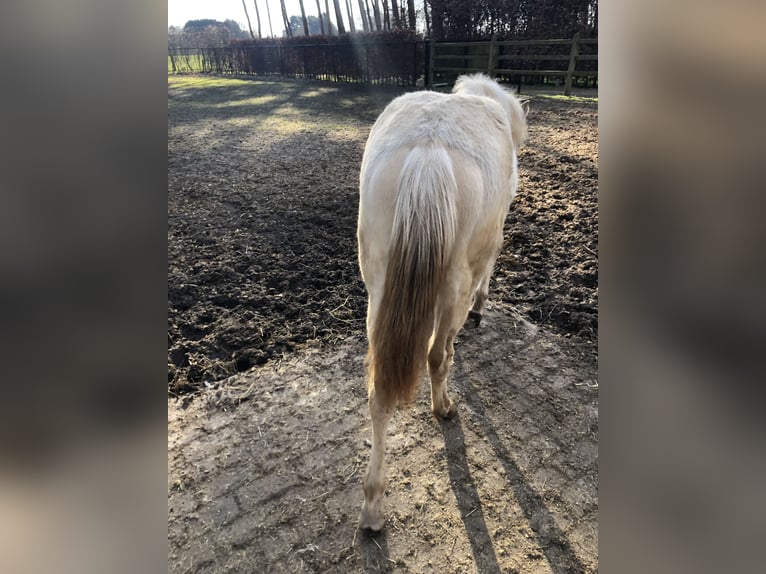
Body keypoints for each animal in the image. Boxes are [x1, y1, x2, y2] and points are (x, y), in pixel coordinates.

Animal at [358, 74, 528, 532]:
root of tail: (429, 150)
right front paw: (481, 308)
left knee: (379, 388)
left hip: (378, 287)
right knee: (436, 355)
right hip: (454, 281)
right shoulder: (489, 246)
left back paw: (373, 505)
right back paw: (444, 406)